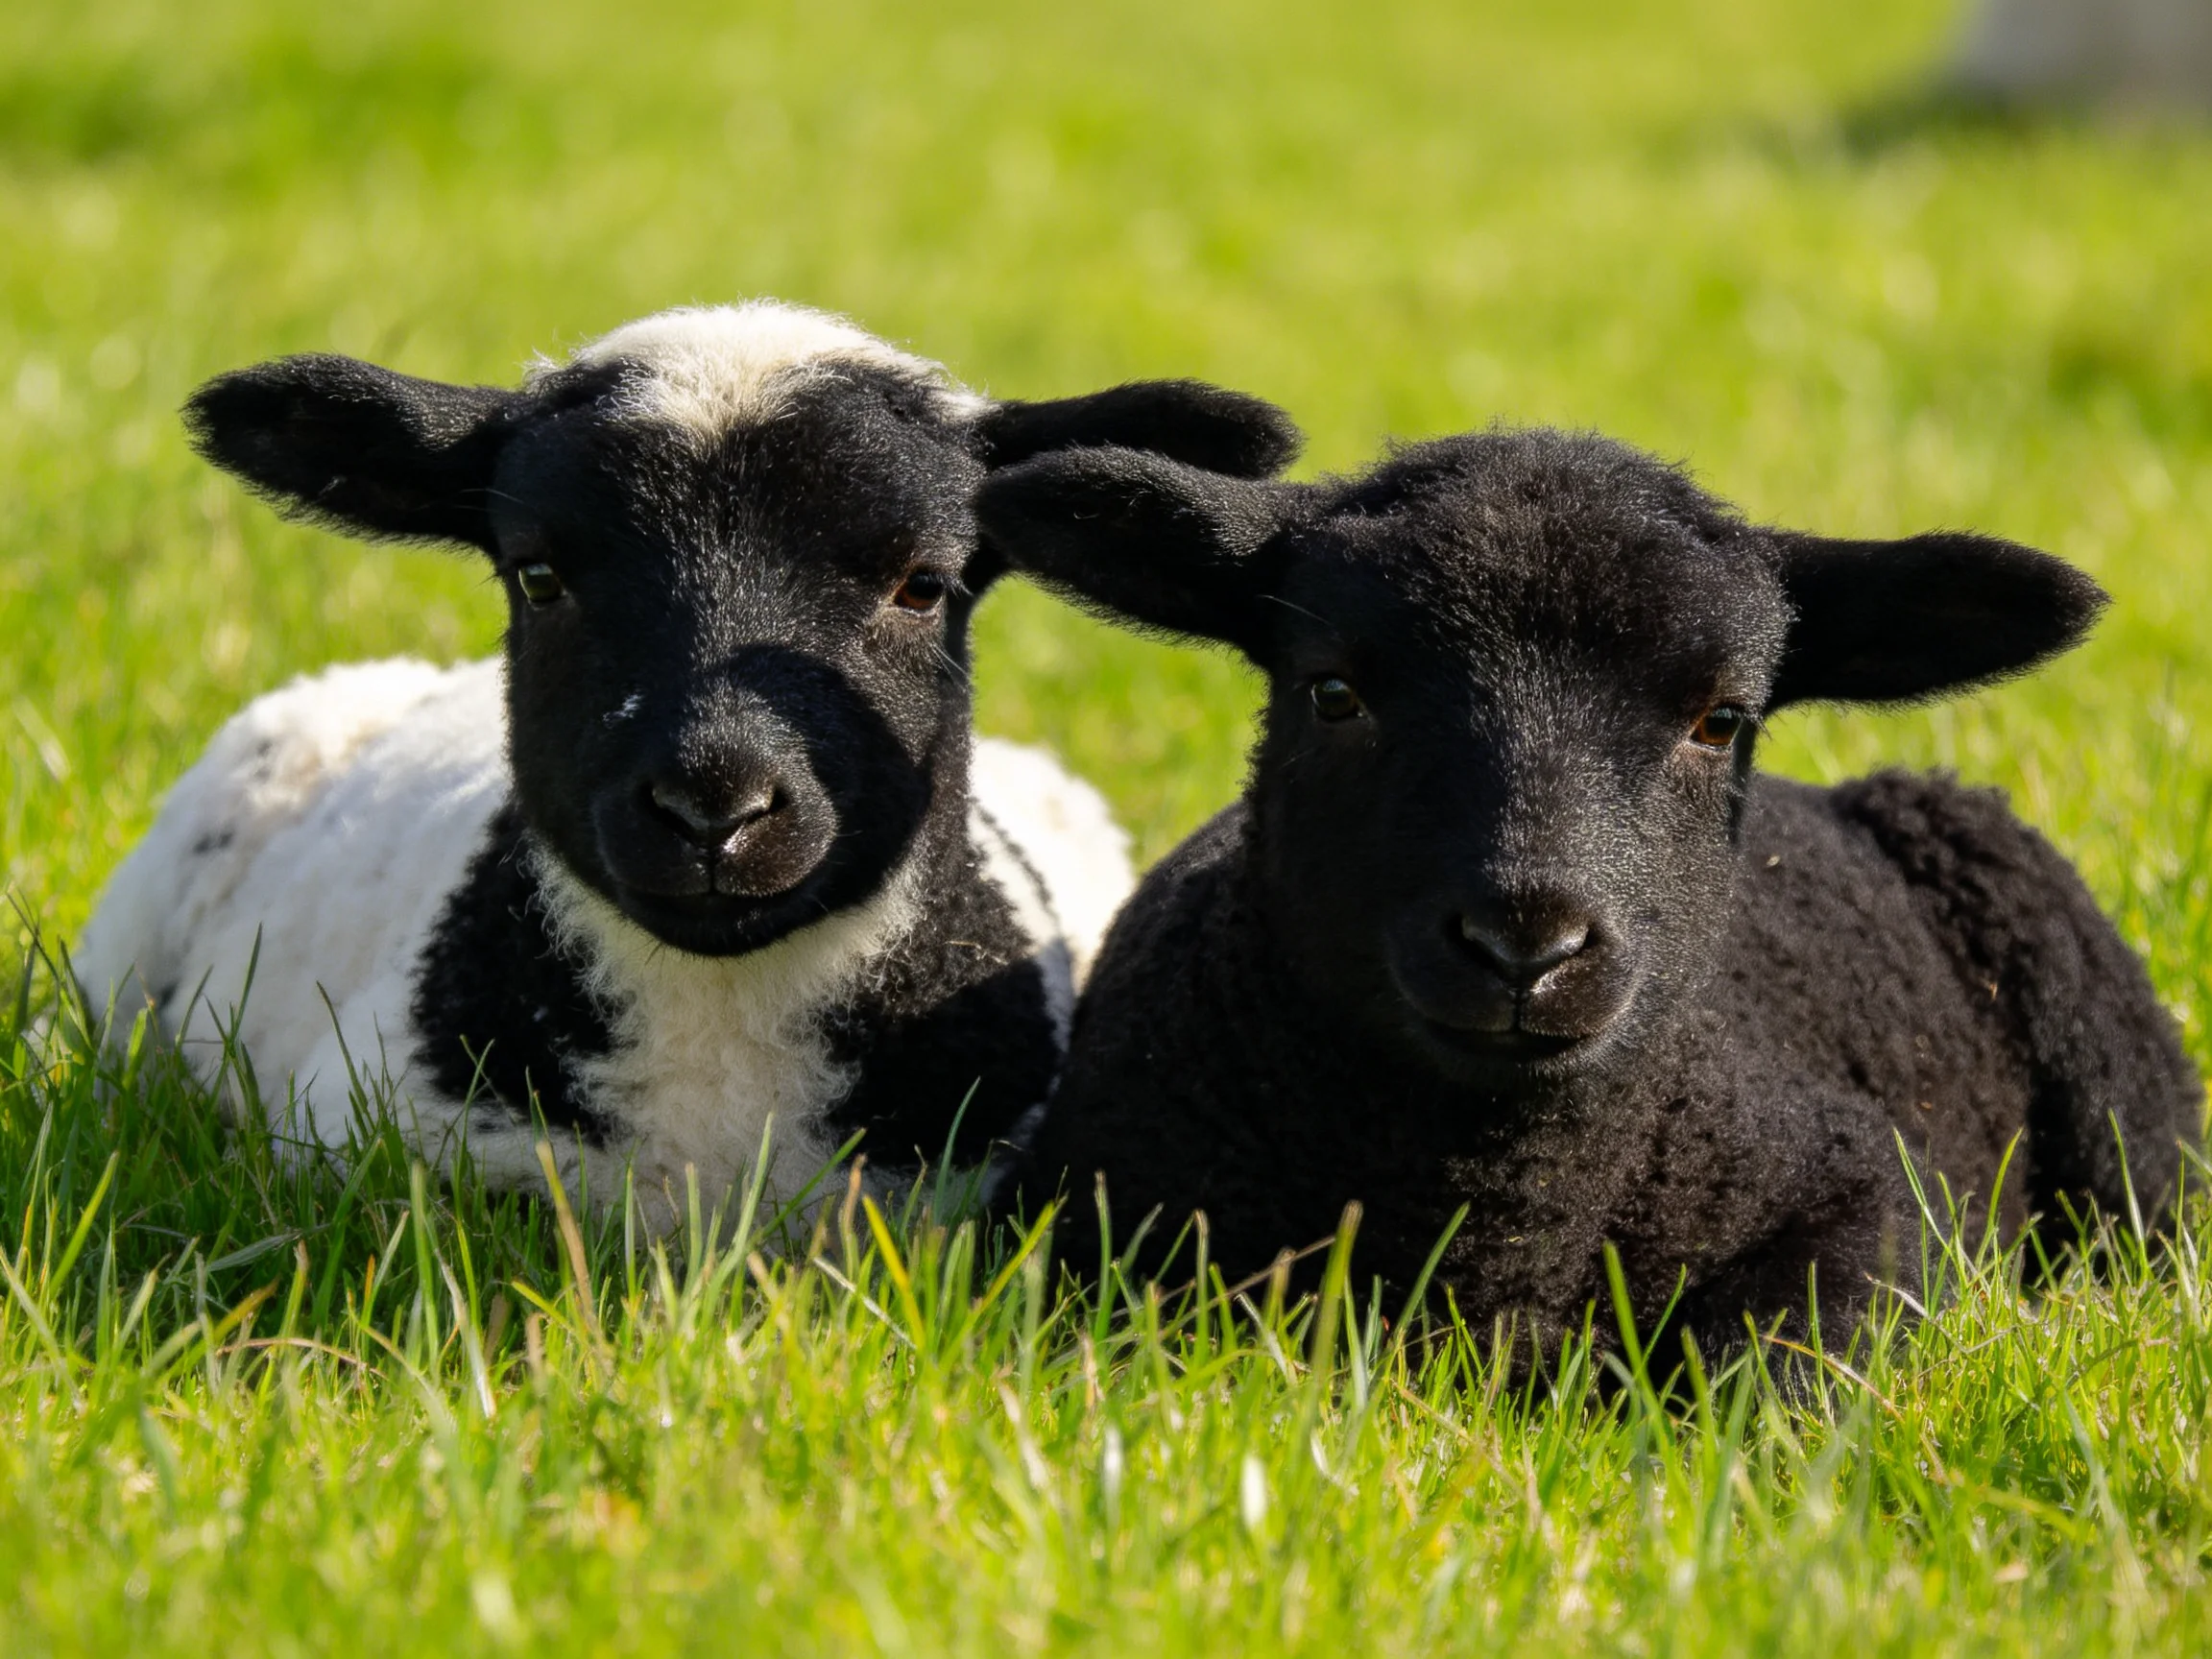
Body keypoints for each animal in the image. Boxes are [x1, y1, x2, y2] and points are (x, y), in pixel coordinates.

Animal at [976, 426, 2202, 1360]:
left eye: (1720, 719)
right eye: (1332, 692)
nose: (1527, 946)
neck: (1495, 1225)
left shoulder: (1858, 1193)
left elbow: (1778, 1374)